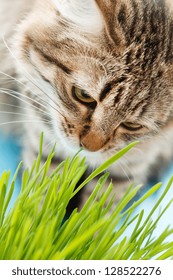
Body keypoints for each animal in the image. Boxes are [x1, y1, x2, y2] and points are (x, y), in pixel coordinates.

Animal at [0, 0, 173, 208]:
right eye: (83, 95)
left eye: (132, 125)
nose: (89, 147)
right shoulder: (45, 139)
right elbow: (42, 198)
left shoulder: (129, 163)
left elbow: (99, 208)